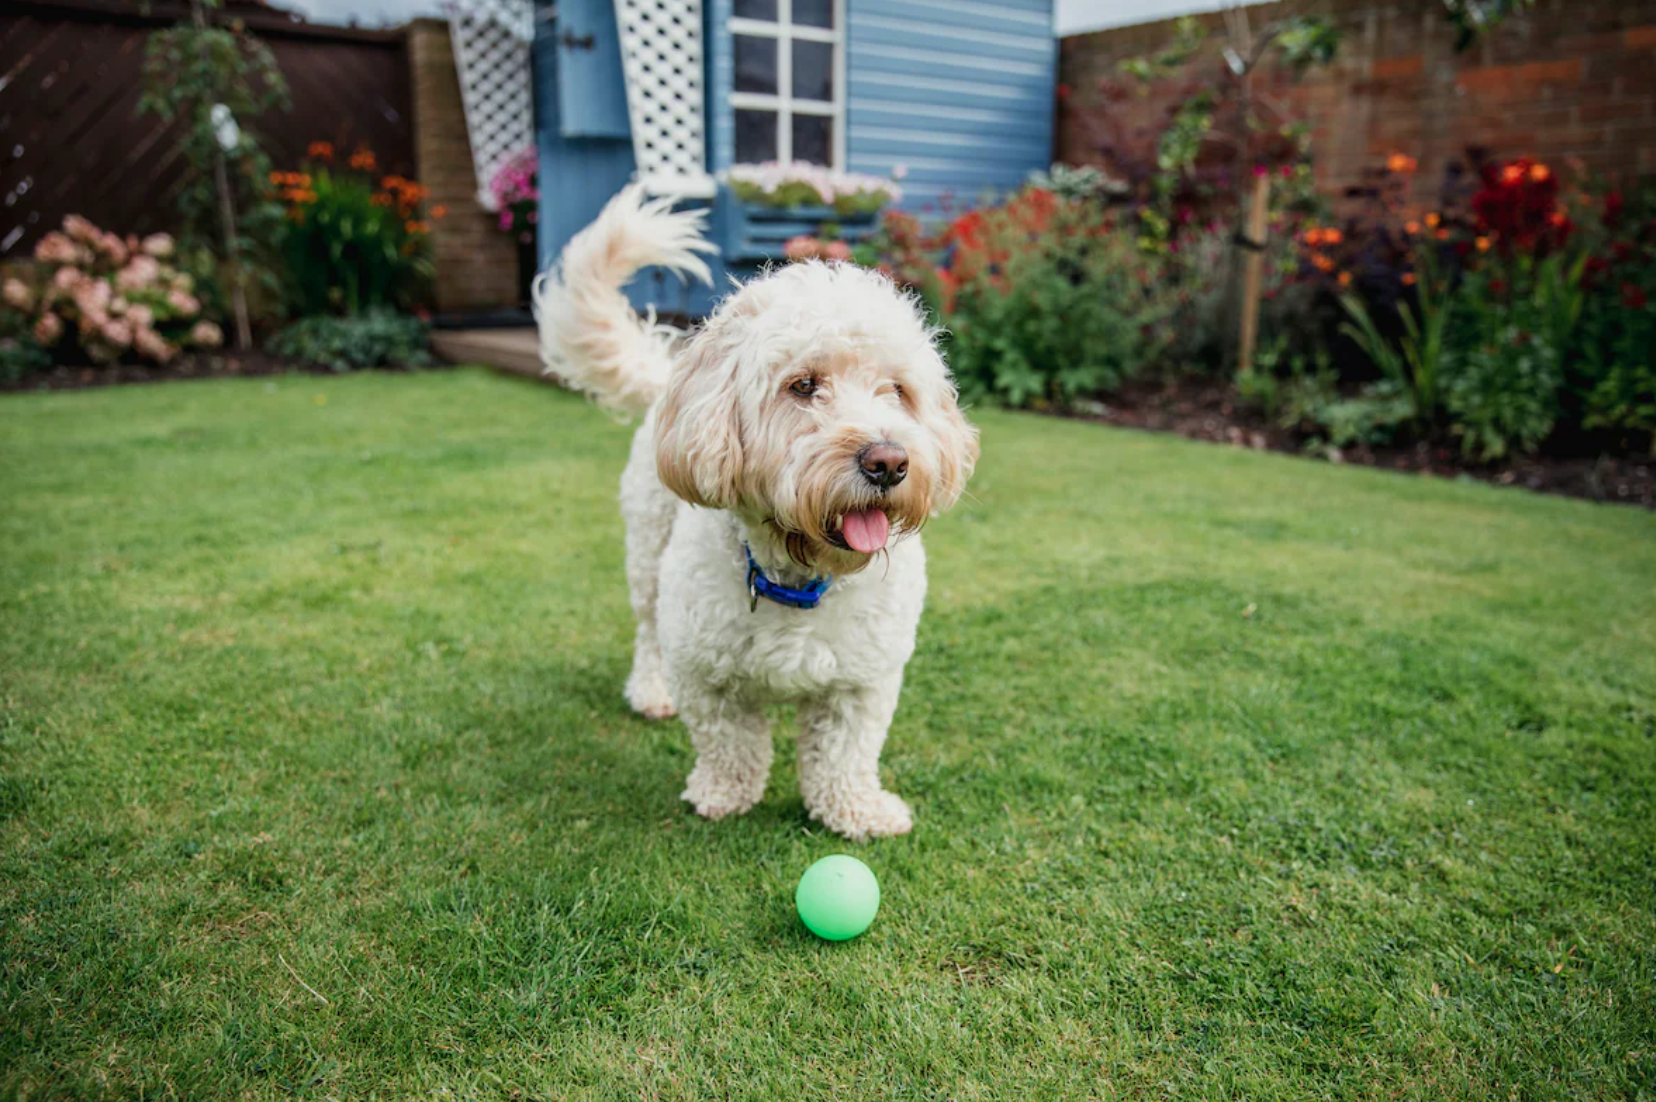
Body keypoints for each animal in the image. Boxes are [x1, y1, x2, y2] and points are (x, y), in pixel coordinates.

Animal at [529, 184, 973, 838]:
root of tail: (671, 377)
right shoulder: (706, 672)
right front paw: (724, 794)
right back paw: (651, 691)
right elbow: (730, 741)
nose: (888, 462)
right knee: (647, 633)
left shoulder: (863, 681)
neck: (800, 576)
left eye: (897, 390)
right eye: (803, 385)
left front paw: (855, 809)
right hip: (648, 558)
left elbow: (845, 752)